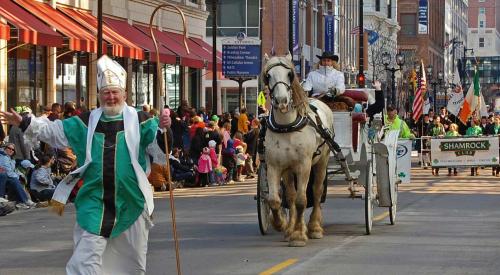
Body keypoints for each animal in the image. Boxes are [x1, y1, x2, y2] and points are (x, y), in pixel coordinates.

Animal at [262, 54, 336, 248]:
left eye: (290, 74)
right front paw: (282, 224)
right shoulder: (274, 166)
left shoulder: (304, 165)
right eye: (268, 75)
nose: (281, 100)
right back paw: (292, 227)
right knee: (290, 195)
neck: (287, 126)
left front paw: (299, 236)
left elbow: (302, 200)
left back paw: (314, 227)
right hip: (289, 170)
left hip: (321, 162)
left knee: (316, 191)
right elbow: (276, 200)